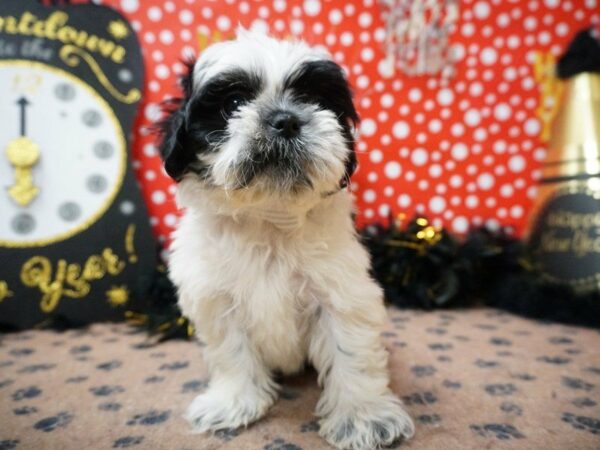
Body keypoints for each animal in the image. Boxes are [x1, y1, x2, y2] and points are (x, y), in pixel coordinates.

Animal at [157, 30, 414, 450]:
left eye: (313, 99)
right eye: (233, 103)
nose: (285, 120)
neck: (268, 220)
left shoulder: (341, 293)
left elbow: (351, 352)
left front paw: (363, 416)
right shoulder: (216, 299)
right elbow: (231, 352)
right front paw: (233, 402)